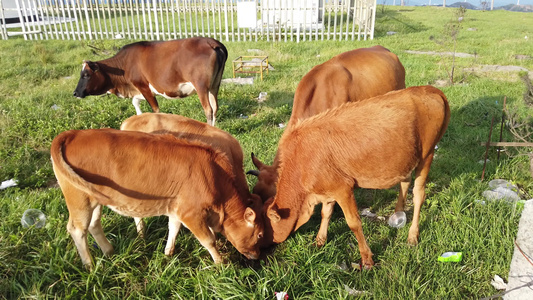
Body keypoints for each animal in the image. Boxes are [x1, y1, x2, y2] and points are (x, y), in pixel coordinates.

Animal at [51, 127, 262, 268]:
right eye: (260, 234)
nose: (256, 256)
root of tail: (73, 134)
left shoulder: (177, 207)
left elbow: (173, 228)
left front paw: (168, 253)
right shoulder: (191, 213)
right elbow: (209, 240)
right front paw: (221, 264)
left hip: (94, 200)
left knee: (94, 224)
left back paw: (109, 252)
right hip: (78, 199)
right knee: (77, 229)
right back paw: (90, 265)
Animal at [72, 37, 227, 126]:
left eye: (86, 75)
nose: (75, 93)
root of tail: (211, 42)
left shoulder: (142, 85)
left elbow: (155, 110)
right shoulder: (141, 89)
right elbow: (135, 101)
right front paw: (139, 117)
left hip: (201, 86)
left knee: (208, 109)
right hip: (214, 85)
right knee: (215, 107)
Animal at [262, 85, 448, 270]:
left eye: (263, 230)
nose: (259, 253)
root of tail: (429, 89)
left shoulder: (343, 189)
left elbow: (353, 223)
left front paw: (366, 258)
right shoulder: (328, 188)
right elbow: (325, 213)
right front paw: (320, 240)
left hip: (426, 155)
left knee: (418, 195)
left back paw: (412, 235)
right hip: (406, 159)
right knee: (405, 182)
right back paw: (398, 214)